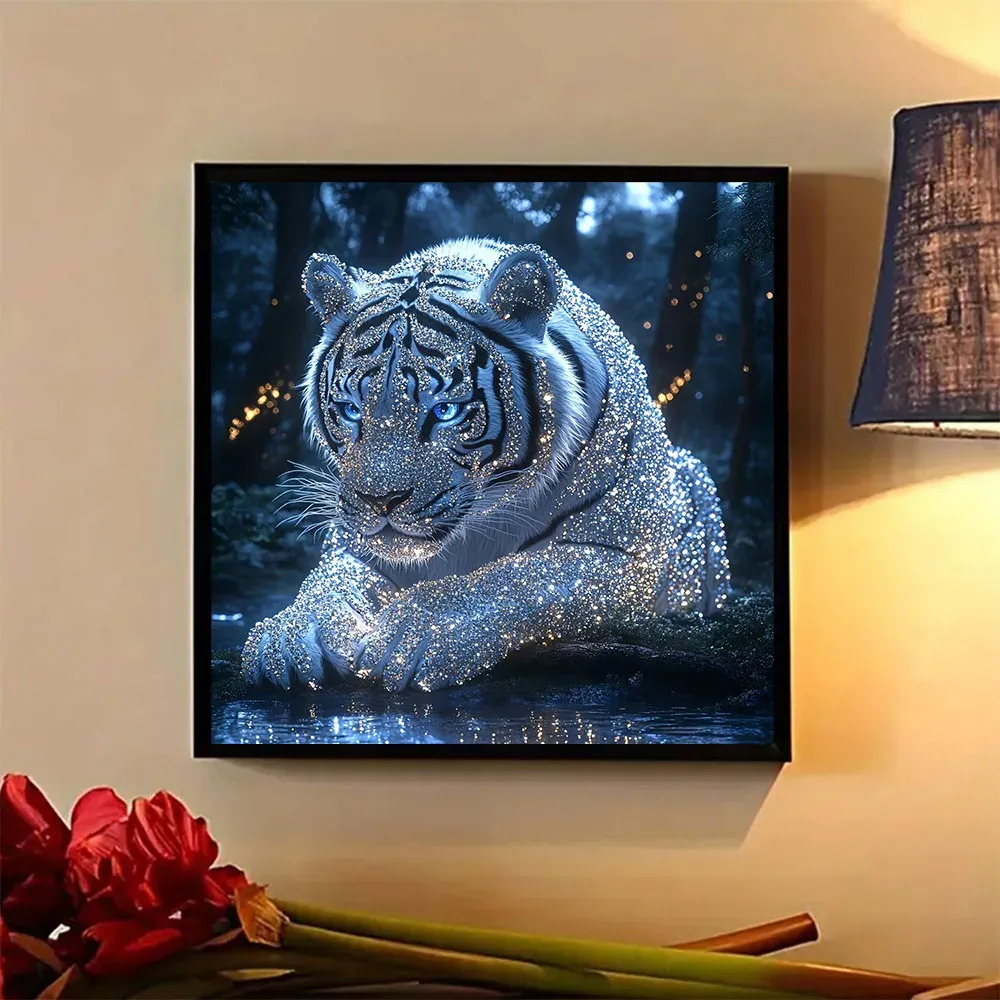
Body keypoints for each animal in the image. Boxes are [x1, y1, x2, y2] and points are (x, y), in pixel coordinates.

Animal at [240, 237, 730, 693]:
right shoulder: (352, 546)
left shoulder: (630, 556)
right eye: (350, 410)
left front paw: (416, 633)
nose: (380, 501)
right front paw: (286, 636)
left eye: (445, 411)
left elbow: (521, 577)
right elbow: (328, 585)